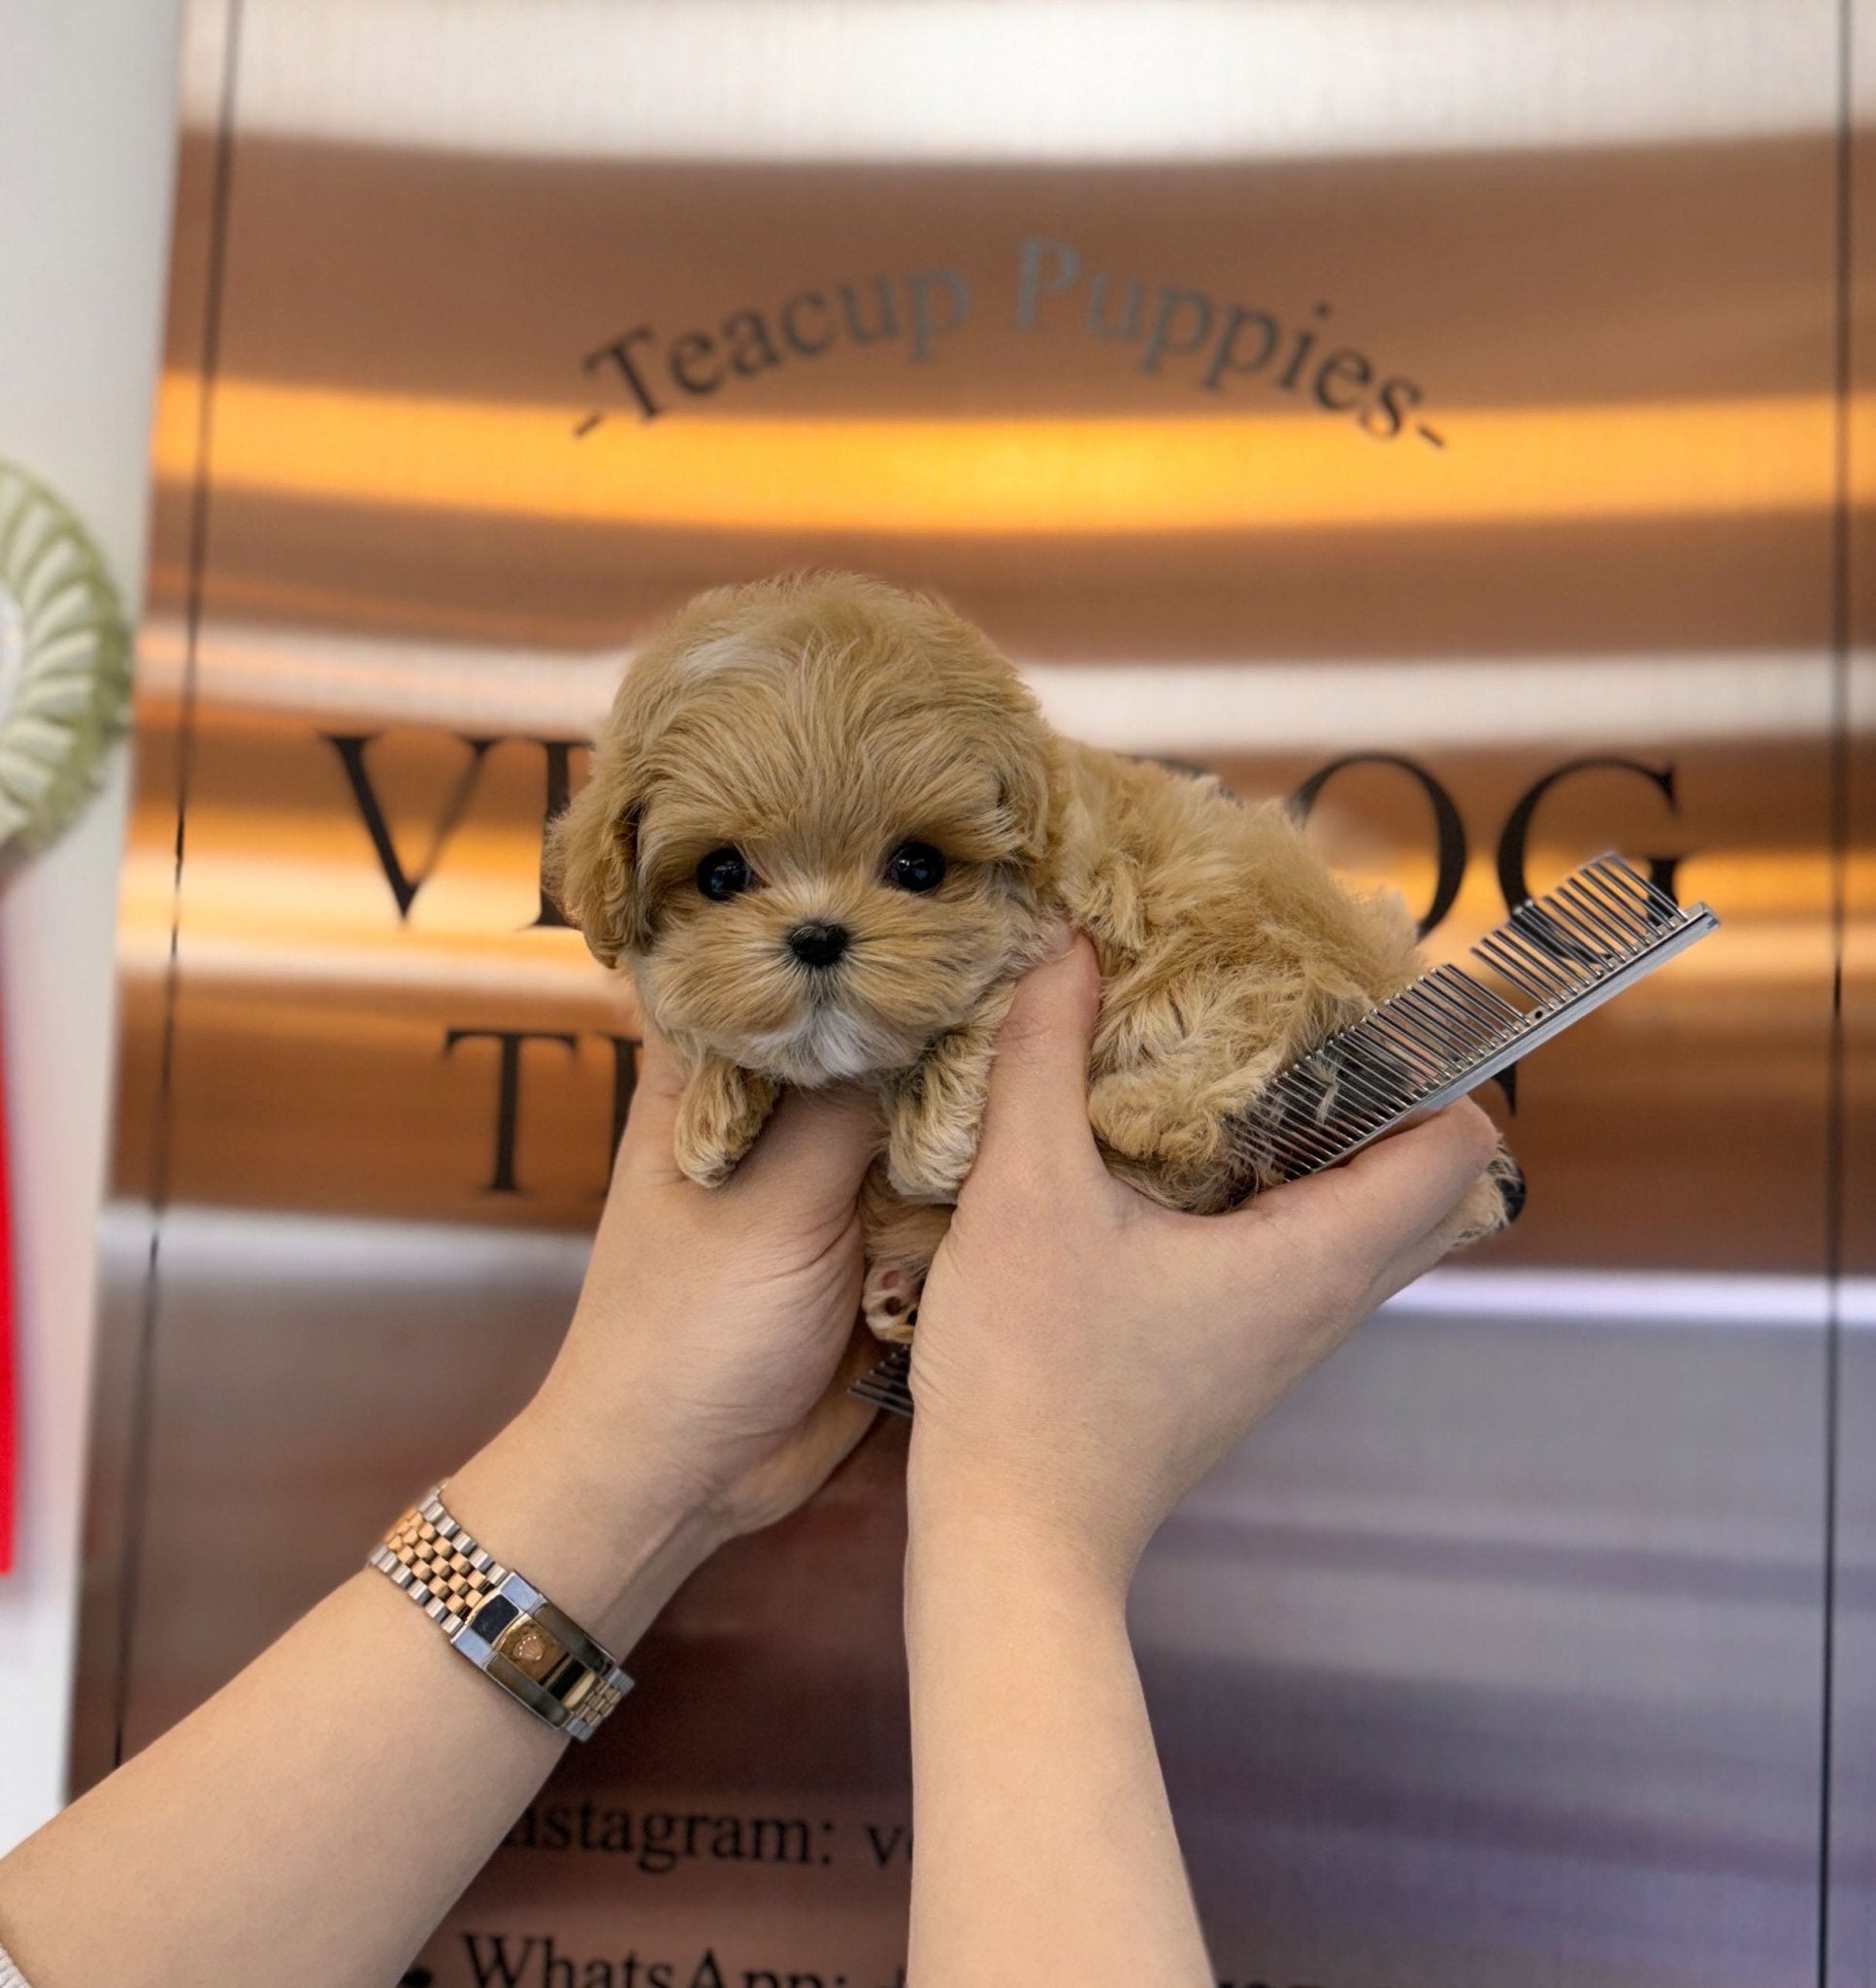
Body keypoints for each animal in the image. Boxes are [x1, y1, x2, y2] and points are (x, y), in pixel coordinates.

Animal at [548, 580, 1518, 1351]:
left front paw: (931, 1141)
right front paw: (713, 1108)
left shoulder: (1076, 921)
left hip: (1259, 943)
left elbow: (983, 1014)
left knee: (1251, 1023)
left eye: (917, 867)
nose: (818, 935)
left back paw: (1139, 1110)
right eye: (720, 875)